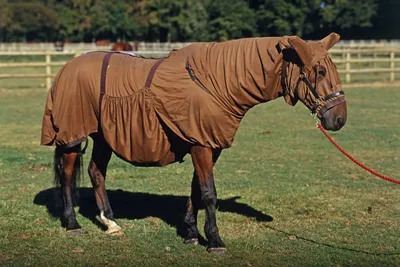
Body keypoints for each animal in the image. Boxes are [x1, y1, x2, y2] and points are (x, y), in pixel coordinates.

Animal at [39, 32, 346, 254]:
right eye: (319, 72)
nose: (339, 118)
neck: (217, 83)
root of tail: (67, 67)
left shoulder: (209, 144)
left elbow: (196, 189)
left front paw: (190, 233)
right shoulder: (201, 144)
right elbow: (209, 192)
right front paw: (215, 241)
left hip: (103, 136)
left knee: (96, 172)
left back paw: (110, 222)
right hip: (73, 136)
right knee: (67, 174)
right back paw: (72, 223)